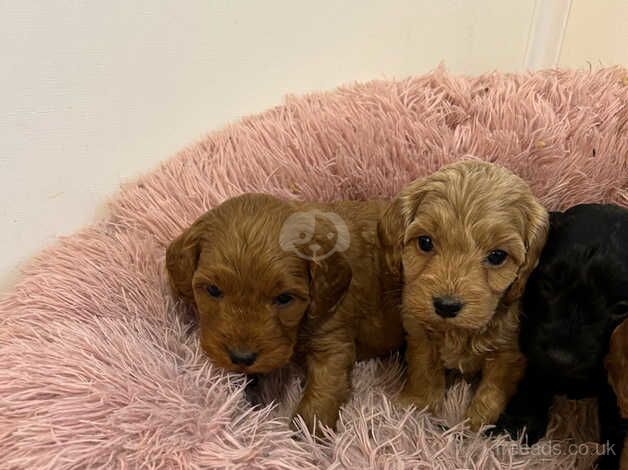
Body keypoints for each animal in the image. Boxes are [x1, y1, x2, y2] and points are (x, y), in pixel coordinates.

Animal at [166, 193, 402, 432]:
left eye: (284, 298)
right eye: (213, 290)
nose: (242, 357)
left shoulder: (332, 338)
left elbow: (323, 391)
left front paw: (307, 434)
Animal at [378, 161, 548, 430]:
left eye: (497, 256)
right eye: (425, 242)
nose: (446, 306)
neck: (456, 332)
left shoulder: (509, 351)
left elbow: (493, 388)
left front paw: (475, 424)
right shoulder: (418, 330)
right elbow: (424, 368)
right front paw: (415, 407)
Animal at [500, 204, 628, 468]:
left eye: (621, 308)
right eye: (548, 285)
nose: (561, 359)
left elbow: (618, 419)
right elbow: (534, 375)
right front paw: (518, 426)